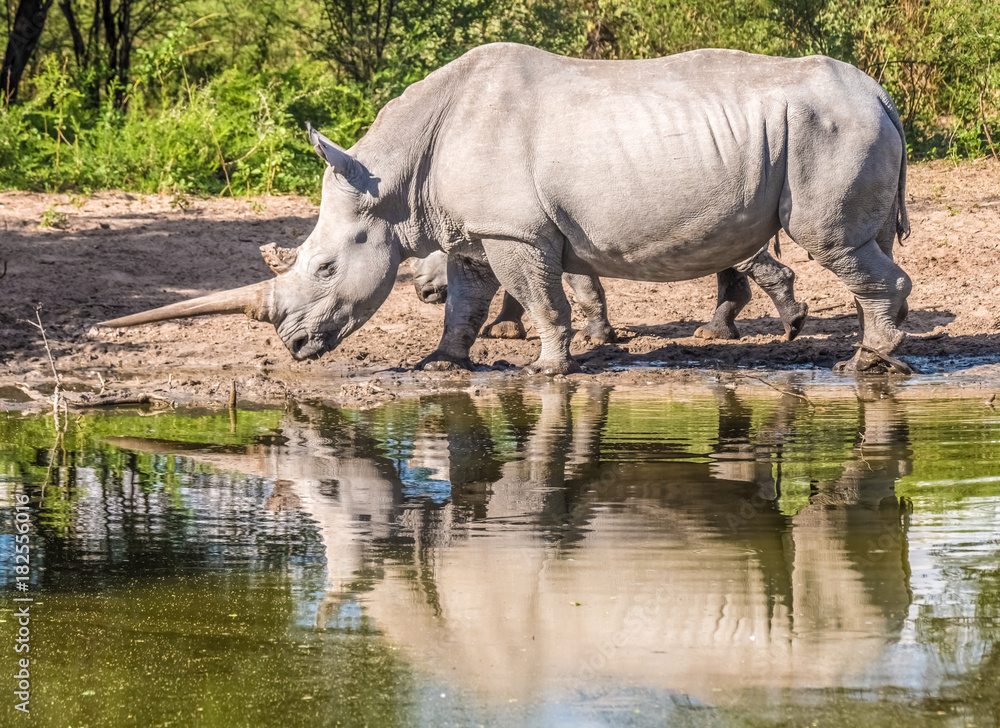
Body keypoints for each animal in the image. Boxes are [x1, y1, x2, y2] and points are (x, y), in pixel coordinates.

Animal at [103, 43, 911, 374]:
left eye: (326, 266)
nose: (292, 346)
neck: (395, 179)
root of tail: (881, 93)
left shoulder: (514, 229)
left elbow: (542, 296)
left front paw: (548, 370)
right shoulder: (473, 229)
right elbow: (467, 297)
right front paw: (443, 362)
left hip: (832, 129)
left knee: (834, 243)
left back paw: (863, 363)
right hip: (836, 125)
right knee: (865, 247)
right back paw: (879, 353)